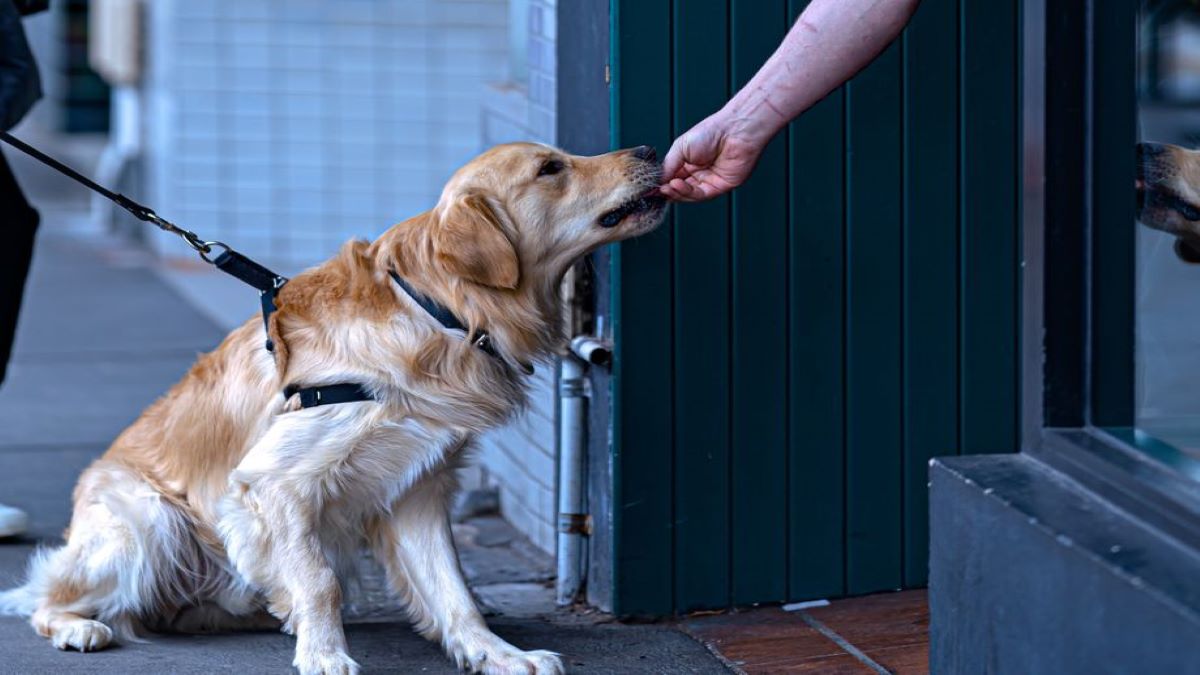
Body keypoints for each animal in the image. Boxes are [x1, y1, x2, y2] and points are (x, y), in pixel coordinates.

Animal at [0, 142, 667, 672]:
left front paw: (497, 654)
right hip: (148, 519)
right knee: (46, 599)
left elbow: (454, 588)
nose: (648, 148)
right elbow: (319, 582)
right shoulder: (274, 482)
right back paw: (80, 627)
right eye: (551, 168)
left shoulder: (418, 484)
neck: (436, 311)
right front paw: (324, 653)